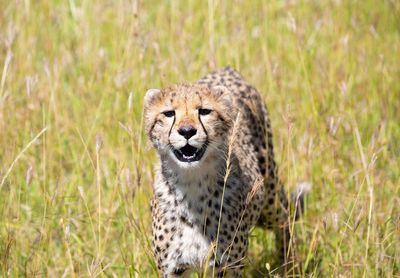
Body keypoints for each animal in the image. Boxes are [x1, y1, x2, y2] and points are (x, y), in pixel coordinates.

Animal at [145, 66, 296, 276]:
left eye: (204, 111)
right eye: (168, 113)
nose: (186, 131)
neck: (192, 183)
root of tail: (227, 69)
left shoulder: (228, 266)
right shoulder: (173, 270)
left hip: (269, 195)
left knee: (284, 219)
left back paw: (289, 265)